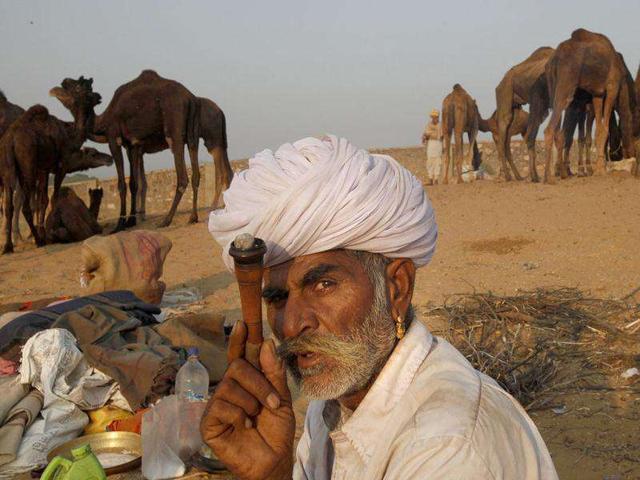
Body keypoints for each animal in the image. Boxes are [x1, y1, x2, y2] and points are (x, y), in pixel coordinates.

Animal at [0, 77, 100, 254]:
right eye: (87, 88)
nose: (99, 96)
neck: (70, 136)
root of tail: (11, 139)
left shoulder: (43, 169)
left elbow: (42, 200)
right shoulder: (59, 166)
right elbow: (50, 198)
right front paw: (46, 233)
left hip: (8, 169)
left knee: (8, 205)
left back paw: (8, 246)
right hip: (27, 165)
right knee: (24, 206)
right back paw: (38, 240)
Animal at [495, 47, 554, 182]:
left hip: (517, 108)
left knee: (509, 141)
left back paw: (520, 176)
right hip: (505, 92)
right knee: (503, 135)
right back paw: (508, 176)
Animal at [544, 29, 640, 182]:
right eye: (635, 132)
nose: (630, 153)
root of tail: (553, 60)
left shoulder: (597, 94)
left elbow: (599, 130)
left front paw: (598, 168)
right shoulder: (612, 88)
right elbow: (605, 129)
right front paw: (600, 169)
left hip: (552, 86)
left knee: (560, 131)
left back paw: (561, 173)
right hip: (566, 85)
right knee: (551, 128)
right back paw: (549, 177)